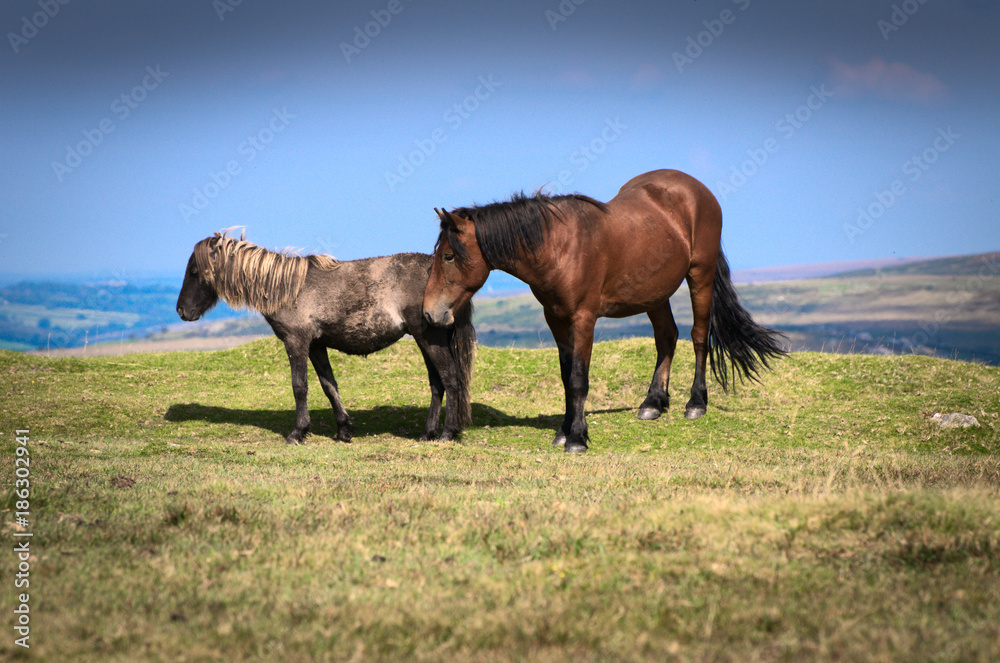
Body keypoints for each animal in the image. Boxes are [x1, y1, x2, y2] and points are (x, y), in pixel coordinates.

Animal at [176, 230, 476, 446]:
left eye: (194, 272)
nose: (181, 311)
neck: (286, 288)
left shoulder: (296, 342)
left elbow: (300, 387)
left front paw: (298, 433)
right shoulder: (316, 346)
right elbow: (329, 386)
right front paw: (344, 430)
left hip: (429, 339)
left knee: (450, 379)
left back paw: (447, 433)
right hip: (424, 341)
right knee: (437, 384)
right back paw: (427, 433)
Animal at [426, 169, 784, 454]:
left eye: (447, 256)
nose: (430, 313)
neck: (559, 246)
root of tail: (699, 191)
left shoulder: (584, 319)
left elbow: (578, 379)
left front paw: (577, 439)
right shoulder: (556, 319)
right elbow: (565, 375)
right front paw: (564, 431)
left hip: (701, 275)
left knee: (698, 337)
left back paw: (696, 404)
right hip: (655, 294)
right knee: (667, 337)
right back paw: (653, 403)